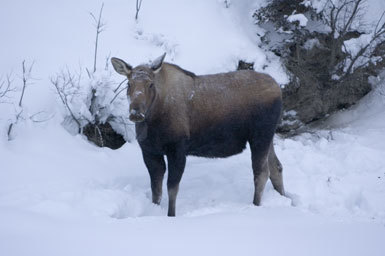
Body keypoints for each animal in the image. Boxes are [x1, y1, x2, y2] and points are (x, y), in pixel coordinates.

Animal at [109, 53, 284, 216]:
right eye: (129, 84)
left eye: (151, 84)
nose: (136, 113)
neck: (153, 120)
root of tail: (278, 88)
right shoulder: (150, 152)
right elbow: (156, 191)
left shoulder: (177, 150)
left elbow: (172, 189)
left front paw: (171, 215)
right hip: (267, 137)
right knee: (276, 167)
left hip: (260, 135)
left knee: (262, 173)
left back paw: (255, 205)